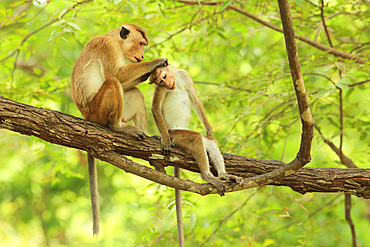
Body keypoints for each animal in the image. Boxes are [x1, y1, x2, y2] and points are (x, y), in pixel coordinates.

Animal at [150, 65, 243, 195]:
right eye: (160, 81)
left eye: (163, 77)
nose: (167, 84)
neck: (176, 79)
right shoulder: (160, 88)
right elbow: (155, 108)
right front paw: (165, 140)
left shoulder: (185, 75)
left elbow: (195, 100)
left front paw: (209, 130)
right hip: (175, 134)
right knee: (196, 139)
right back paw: (207, 176)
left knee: (210, 141)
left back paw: (223, 175)